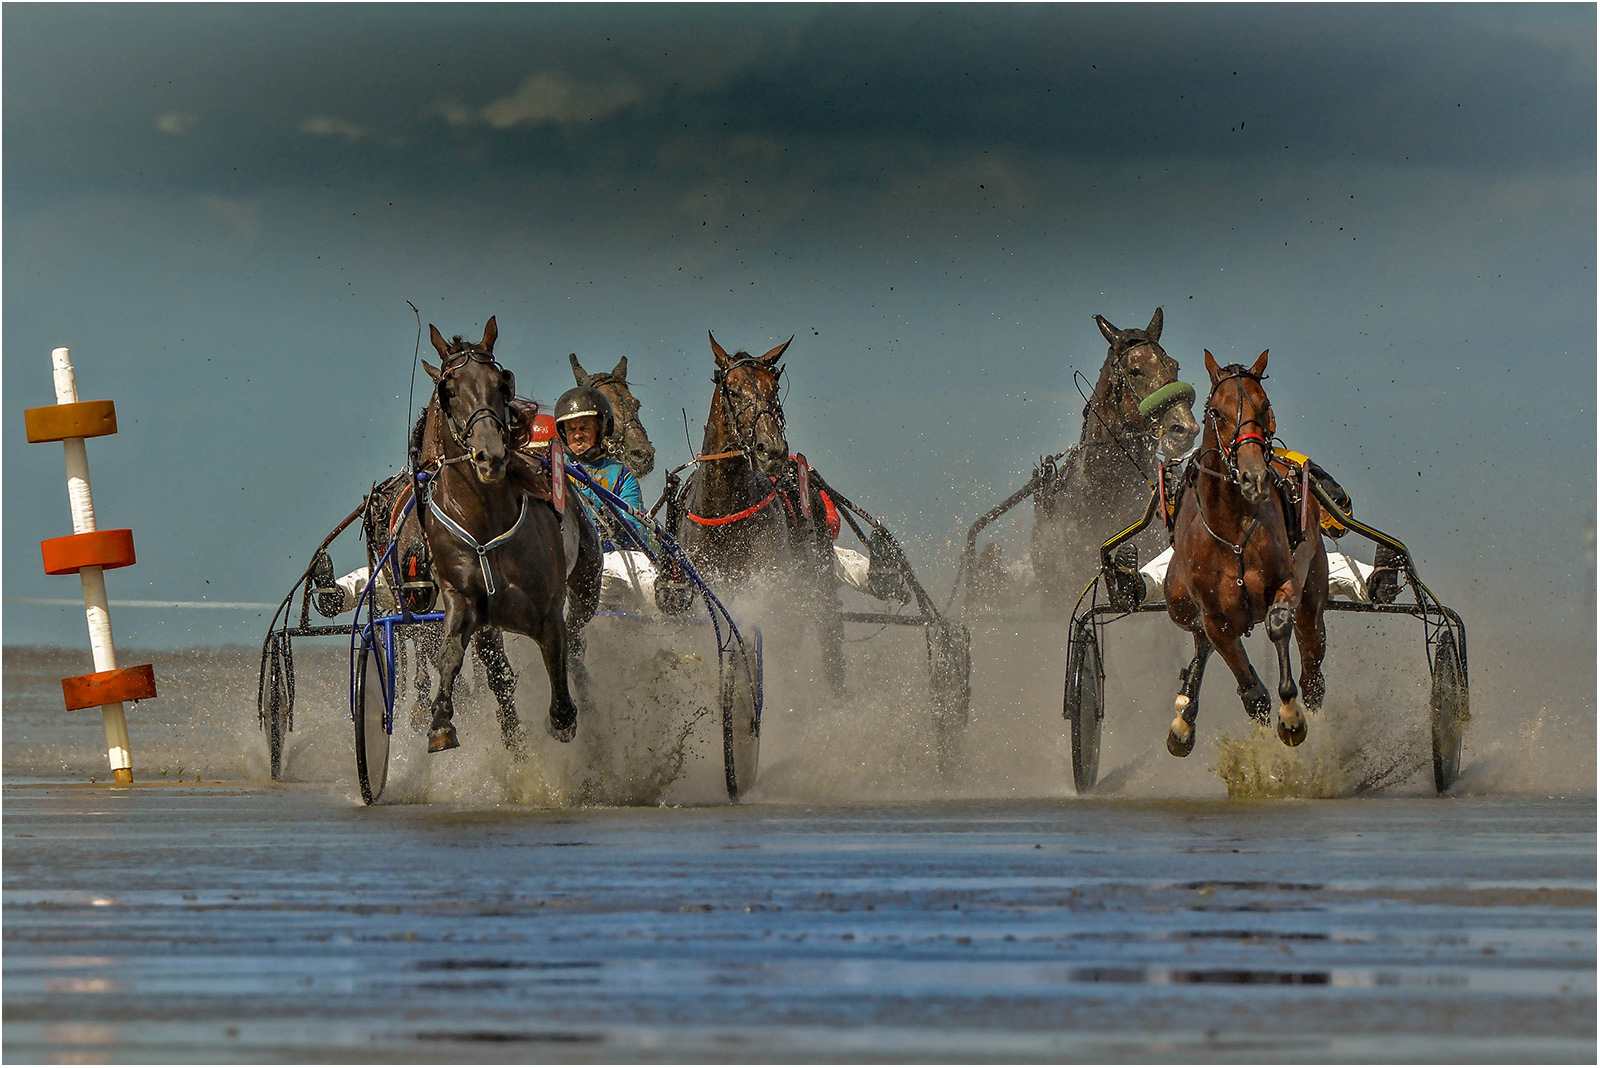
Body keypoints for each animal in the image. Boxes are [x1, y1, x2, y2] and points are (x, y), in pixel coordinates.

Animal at [1158, 346, 1331, 754]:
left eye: (1264, 406)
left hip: (1313, 596)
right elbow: (1250, 691)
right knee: (1200, 644)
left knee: (1312, 667)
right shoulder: (1215, 618)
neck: (1232, 528)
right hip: (1176, 599)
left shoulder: (1286, 584)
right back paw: (1184, 715)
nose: (1254, 476)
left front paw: (1291, 715)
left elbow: (1278, 624)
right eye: (1216, 412)